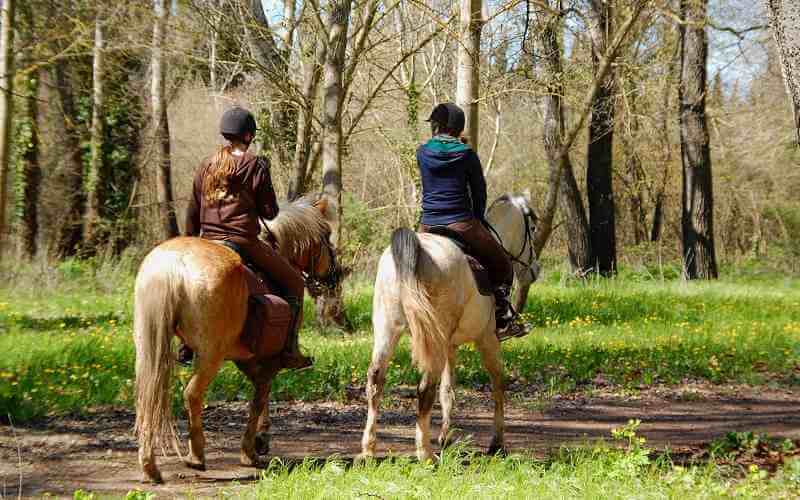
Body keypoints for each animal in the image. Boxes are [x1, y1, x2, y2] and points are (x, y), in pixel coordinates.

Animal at [133, 195, 341, 483]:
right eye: (326, 235)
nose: (335, 275)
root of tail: (173, 265)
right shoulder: (268, 361)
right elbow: (260, 397)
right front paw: (252, 449)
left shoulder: (246, 359)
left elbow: (260, 394)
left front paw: (260, 441)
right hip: (210, 356)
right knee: (192, 394)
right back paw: (196, 456)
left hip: (149, 348)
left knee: (147, 397)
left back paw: (150, 466)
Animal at [360, 193, 540, 461]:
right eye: (533, 228)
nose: (535, 270)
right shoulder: (487, 339)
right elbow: (498, 384)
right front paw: (497, 443)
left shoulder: (449, 345)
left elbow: (448, 390)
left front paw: (446, 438)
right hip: (433, 339)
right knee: (425, 388)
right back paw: (425, 453)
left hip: (388, 331)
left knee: (376, 380)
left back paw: (368, 450)